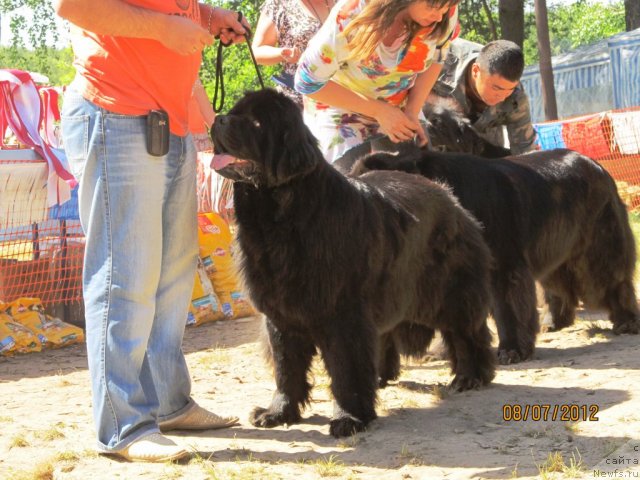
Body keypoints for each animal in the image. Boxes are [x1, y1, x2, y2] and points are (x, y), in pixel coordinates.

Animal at [210, 88, 496, 436]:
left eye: (255, 122)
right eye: (234, 111)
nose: (218, 119)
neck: (281, 215)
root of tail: (447, 196)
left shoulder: (342, 314)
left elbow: (345, 368)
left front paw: (349, 418)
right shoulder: (280, 314)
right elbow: (286, 367)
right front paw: (278, 412)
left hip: (452, 291)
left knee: (467, 334)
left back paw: (471, 376)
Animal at [350, 145, 640, 364]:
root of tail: (596, 165)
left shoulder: (502, 266)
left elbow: (507, 309)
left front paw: (512, 350)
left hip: (599, 246)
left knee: (613, 280)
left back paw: (626, 323)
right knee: (556, 284)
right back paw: (553, 322)